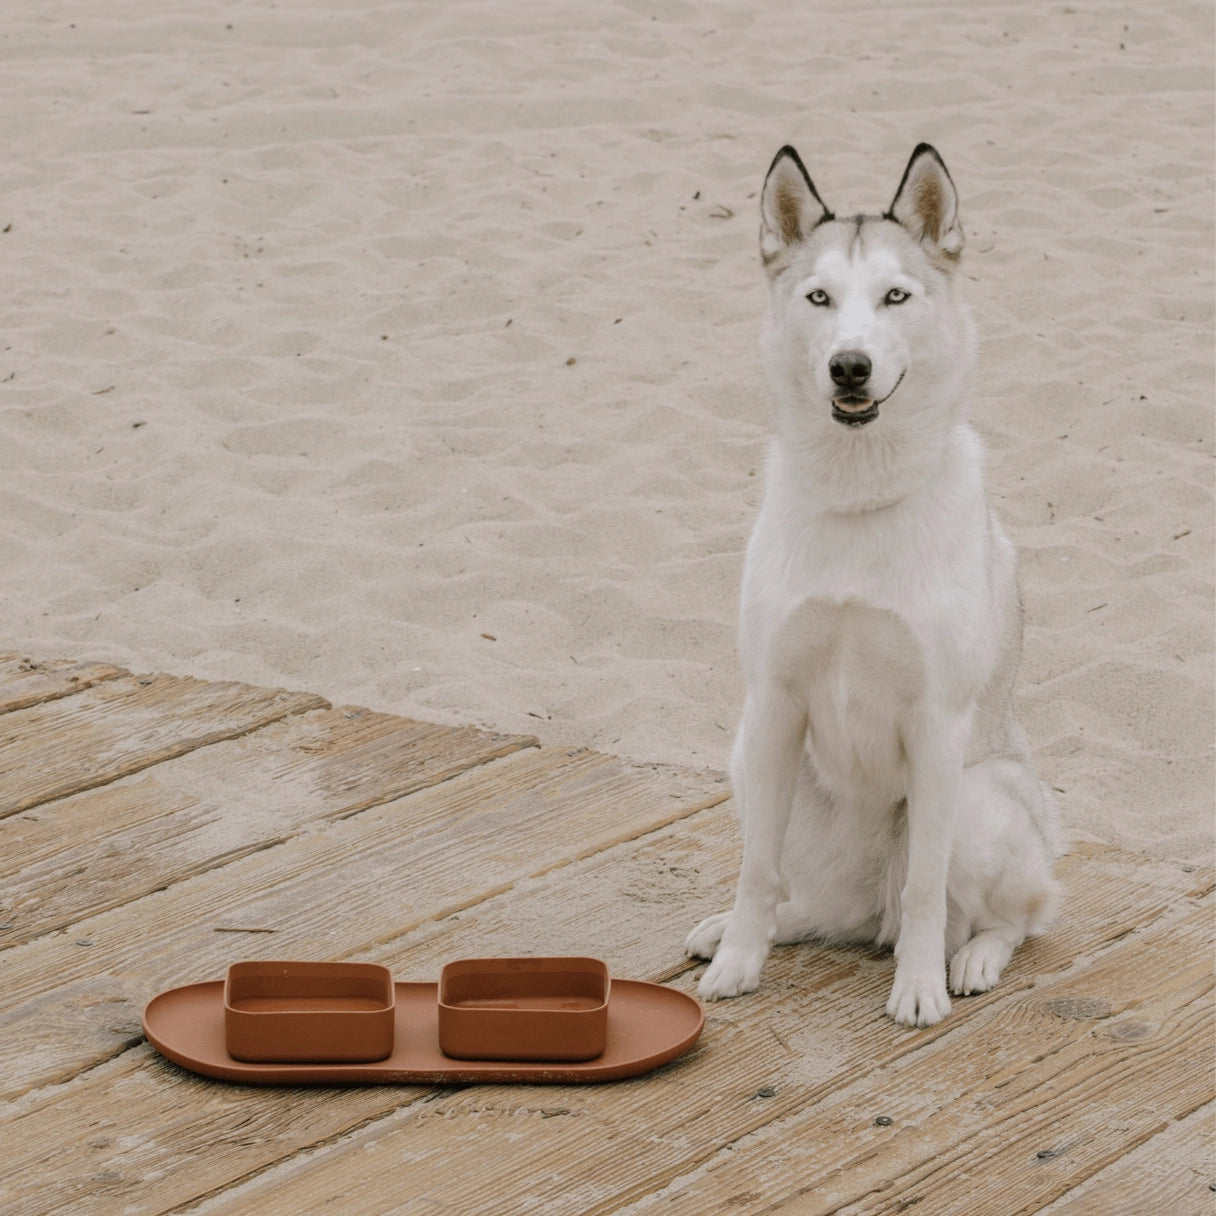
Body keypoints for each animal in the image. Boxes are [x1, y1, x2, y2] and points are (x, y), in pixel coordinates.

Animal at [690, 147, 1060, 1031]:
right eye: (819, 298)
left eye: (896, 296)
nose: (849, 366)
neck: (860, 497)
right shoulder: (775, 703)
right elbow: (755, 871)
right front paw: (737, 961)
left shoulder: (936, 724)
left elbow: (926, 886)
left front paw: (919, 987)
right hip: (751, 756)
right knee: (812, 903)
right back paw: (744, 931)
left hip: (981, 797)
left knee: (1014, 913)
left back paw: (971, 960)